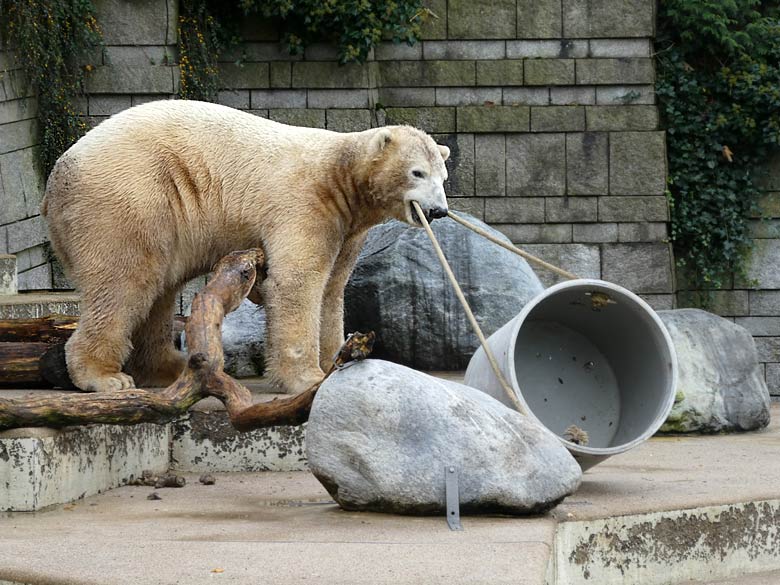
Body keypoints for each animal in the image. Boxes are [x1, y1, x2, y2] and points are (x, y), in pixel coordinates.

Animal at [42, 99, 448, 392]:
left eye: (443, 176)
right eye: (417, 172)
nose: (438, 210)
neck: (339, 175)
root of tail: (55, 179)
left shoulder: (347, 228)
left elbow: (332, 290)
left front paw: (338, 360)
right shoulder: (303, 204)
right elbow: (297, 283)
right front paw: (308, 378)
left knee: (158, 290)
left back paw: (169, 366)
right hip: (131, 197)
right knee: (125, 282)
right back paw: (105, 376)